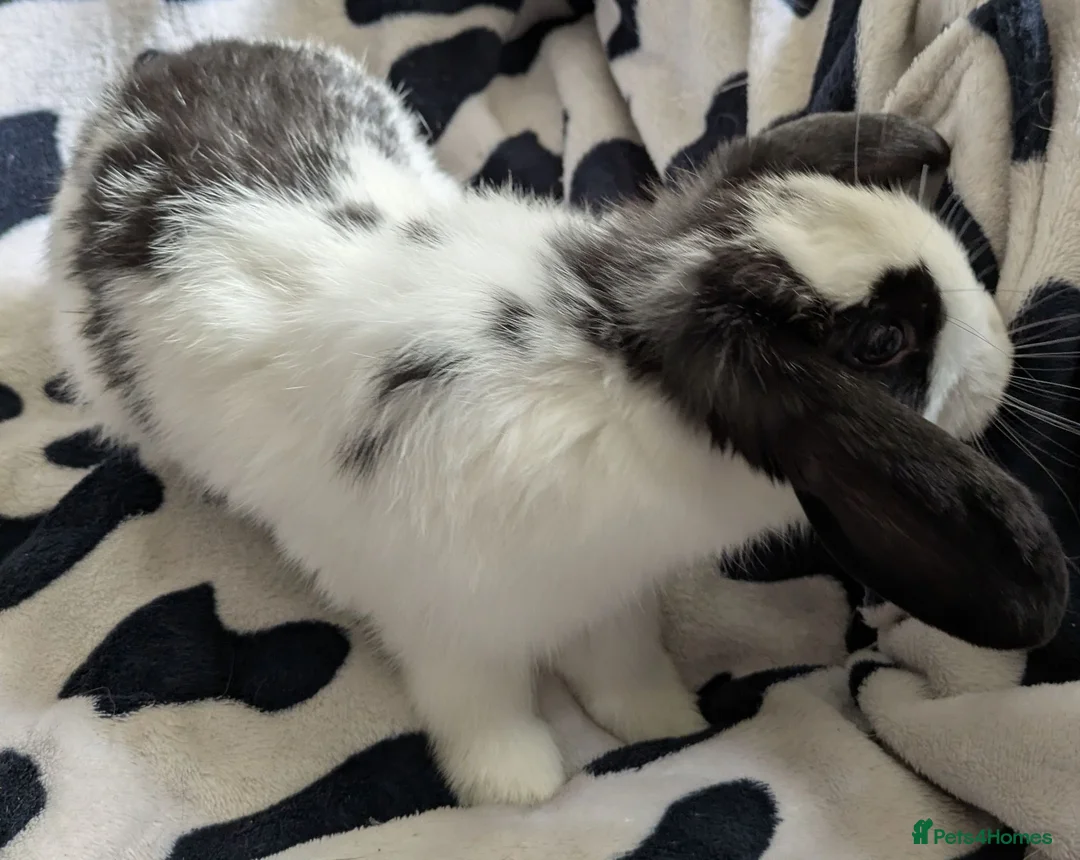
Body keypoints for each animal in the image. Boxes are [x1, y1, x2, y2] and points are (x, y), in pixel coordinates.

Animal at [46, 39, 1068, 807]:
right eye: (884, 340)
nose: (1005, 346)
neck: (623, 366)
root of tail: (153, 70)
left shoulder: (609, 596)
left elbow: (621, 665)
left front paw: (663, 721)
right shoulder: (450, 626)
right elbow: (482, 709)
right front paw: (519, 787)